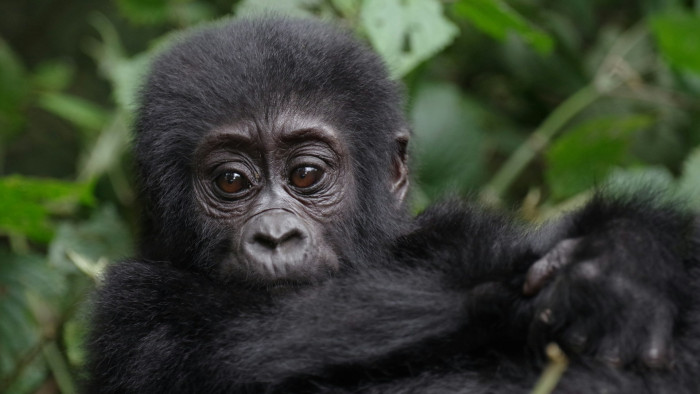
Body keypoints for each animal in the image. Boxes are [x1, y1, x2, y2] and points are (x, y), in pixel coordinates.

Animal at [87, 16, 700, 392]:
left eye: (306, 174)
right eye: (233, 182)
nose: (276, 237)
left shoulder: (446, 228)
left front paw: (625, 256)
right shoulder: (128, 309)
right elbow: (246, 349)